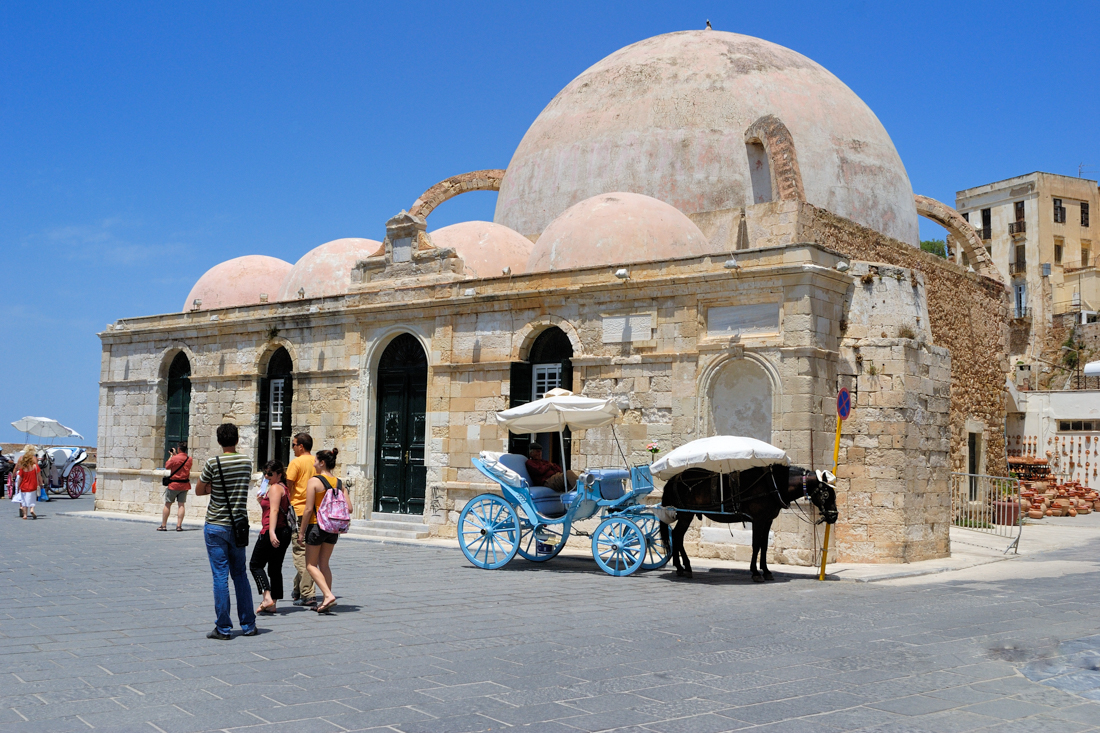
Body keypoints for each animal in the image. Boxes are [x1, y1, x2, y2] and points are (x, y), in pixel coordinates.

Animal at [660, 464, 831, 581]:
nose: (833, 516)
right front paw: (755, 572)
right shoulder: (758, 520)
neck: (773, 484)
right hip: (685, 515)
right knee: (677, 536)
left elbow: (764, 545)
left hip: (686, 515)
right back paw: (685, 567)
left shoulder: (768, 520)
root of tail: (674, 478)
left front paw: (766, 571)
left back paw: (681, 567)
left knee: (677, 536)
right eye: (826, 493)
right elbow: (756, 545)